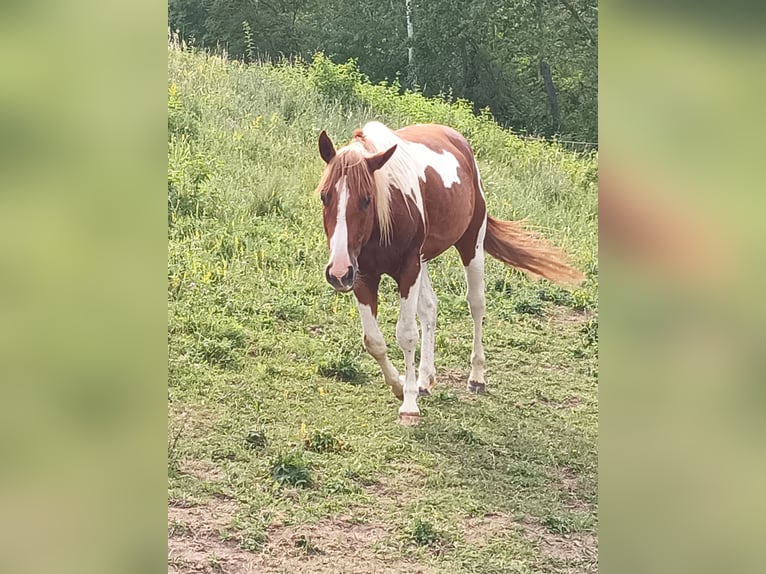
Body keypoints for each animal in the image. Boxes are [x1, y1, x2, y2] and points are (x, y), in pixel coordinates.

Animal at [316, 121, 583, 425]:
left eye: (366, 199)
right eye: (325, 196)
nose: (337, 272)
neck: (387, 213)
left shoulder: (407, 270)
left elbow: (406, 334)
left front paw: (409, 405)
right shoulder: (362, 277)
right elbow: (374, 341)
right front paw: (399, 386)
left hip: (471, 245)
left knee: (476, 305)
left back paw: (476, 377)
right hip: (422, 261)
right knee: (430, 309)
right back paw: (424, 380)